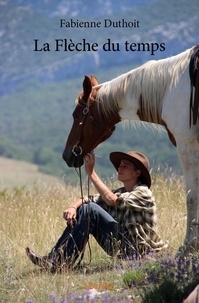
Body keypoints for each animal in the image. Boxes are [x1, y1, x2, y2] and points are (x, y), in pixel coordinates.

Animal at [63, 45, 199, 254]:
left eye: (76, 115)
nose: (67, 155)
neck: (172, 87)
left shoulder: (187, 144)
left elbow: (192, 197)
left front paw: (189, 247)